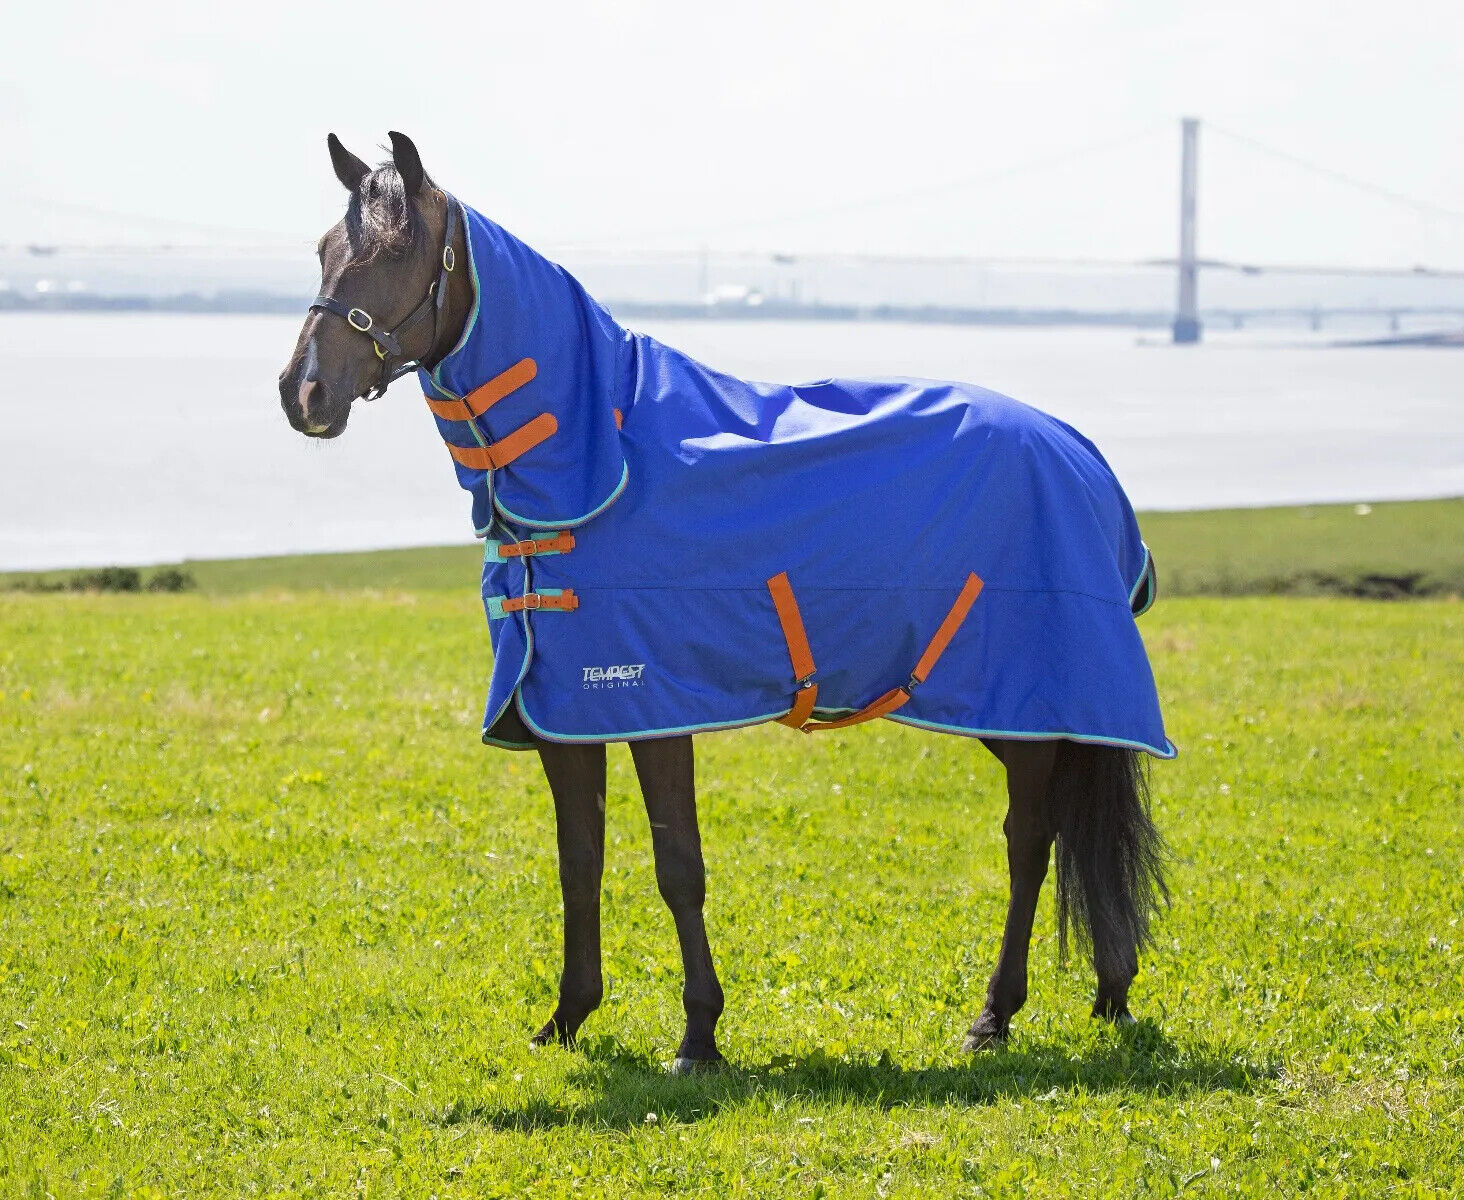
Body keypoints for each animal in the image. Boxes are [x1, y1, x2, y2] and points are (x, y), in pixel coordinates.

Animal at [278, 131, 1169, 1072]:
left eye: (394, 253)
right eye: (325, 251)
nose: (303, 393)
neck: (603, 464)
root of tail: (1081, 456)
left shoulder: (650, 705)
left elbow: (679, 868)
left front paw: (699, 1035)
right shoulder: (563, 715)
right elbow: (577, 860)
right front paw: (568, 1016)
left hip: (1030, 708)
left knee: (1030, 840)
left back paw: (997, 1013)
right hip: (1020, 712)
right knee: (1064, 829)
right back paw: (1108, 989)